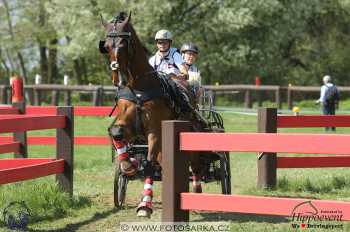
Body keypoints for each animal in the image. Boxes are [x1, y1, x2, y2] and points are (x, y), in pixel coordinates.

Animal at [98, 11, 204, 218]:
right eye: (106, 46)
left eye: (123, 44)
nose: (118, 78)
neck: (139, 87)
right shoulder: (129, 125)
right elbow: (116, 132)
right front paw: (128, 165)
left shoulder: (154, 131)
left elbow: (149, 163)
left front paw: (145, 204)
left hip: (189, 132)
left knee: (194, 161)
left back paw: (196, 191)